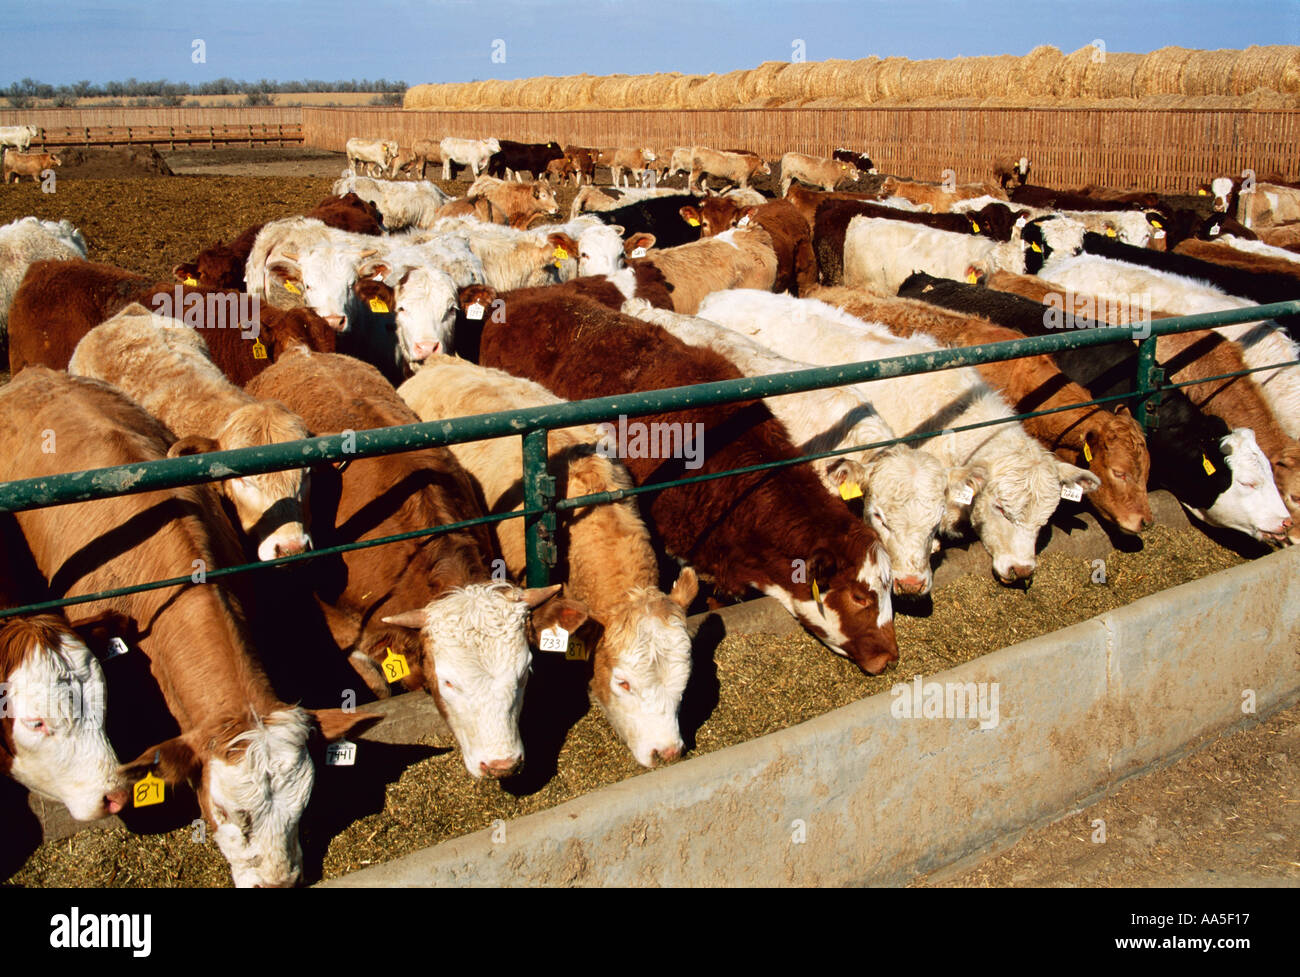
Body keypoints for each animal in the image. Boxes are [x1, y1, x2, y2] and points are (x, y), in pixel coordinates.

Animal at [246, 348, 586, 777]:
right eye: (449, 682)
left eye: (525, 672)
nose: (502, 765)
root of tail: (300, 353)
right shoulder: (344, 630)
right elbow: (376, 686)